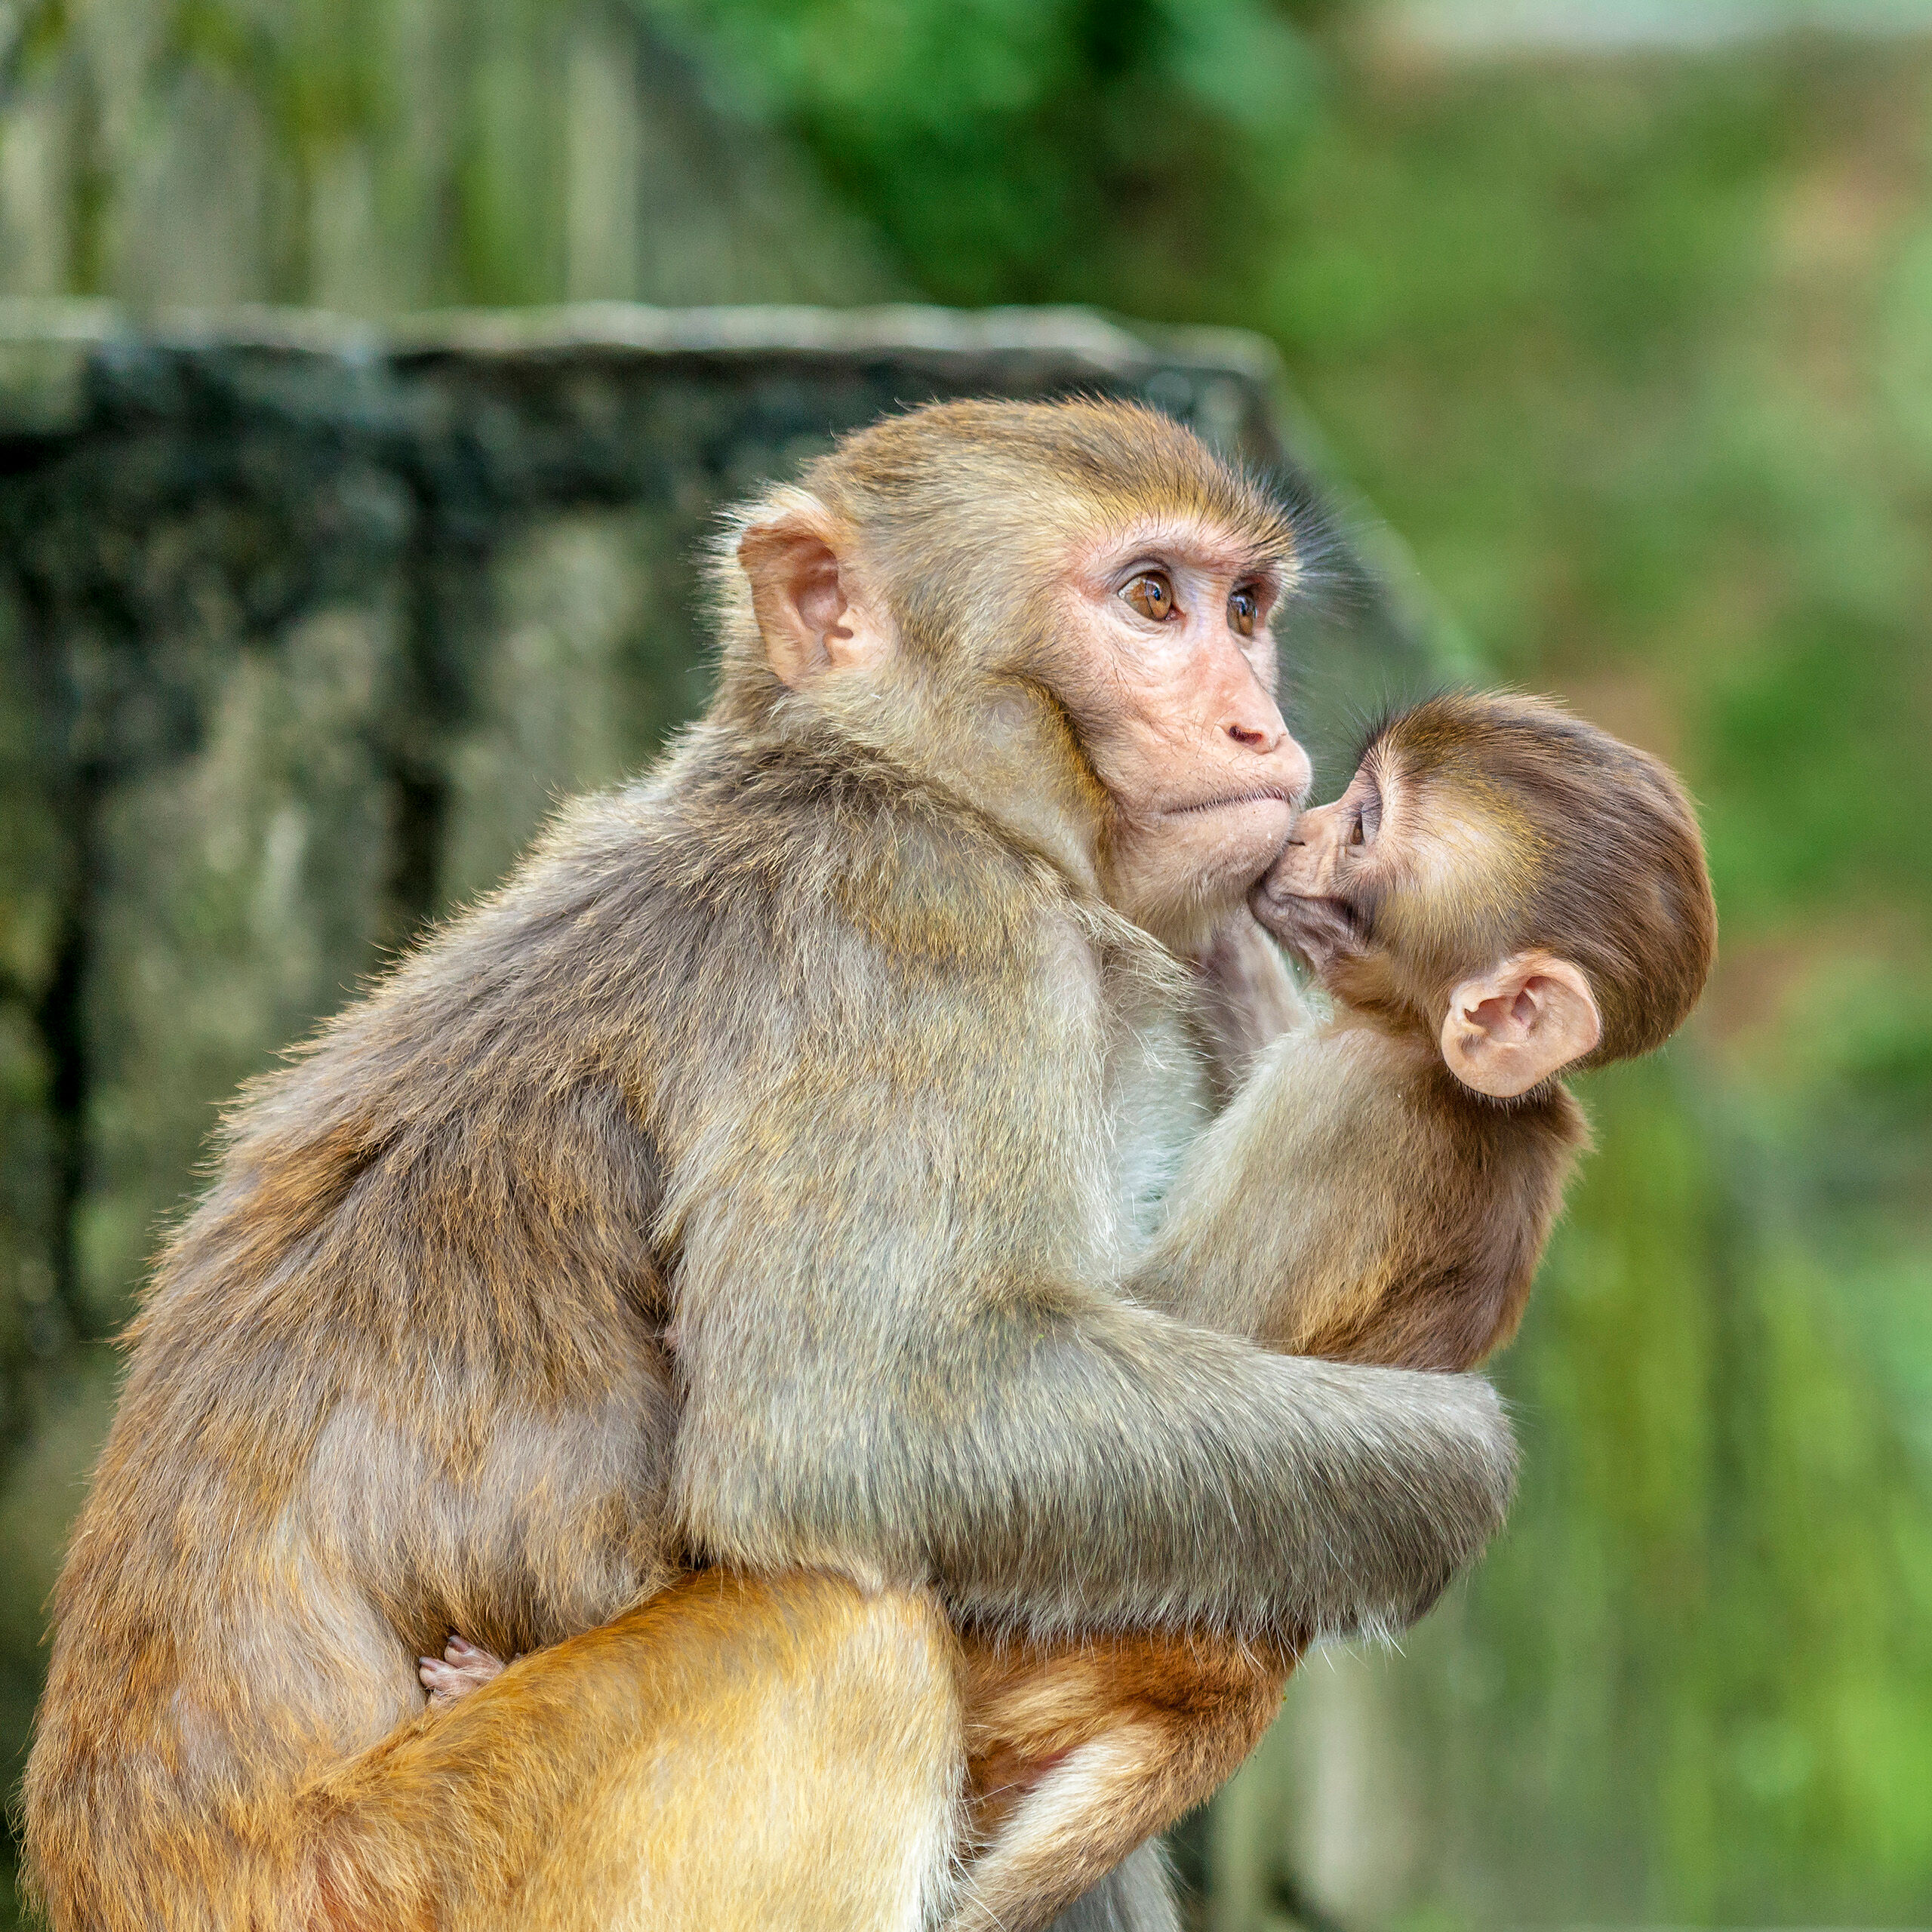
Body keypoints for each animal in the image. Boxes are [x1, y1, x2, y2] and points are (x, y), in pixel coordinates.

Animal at [23, 399, 1526, 1932]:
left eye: (1246, 609)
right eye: (1152, 600)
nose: (1261, 726)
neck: (912, 783)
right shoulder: (916, 949)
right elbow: (850, 1420)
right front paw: (1457, 1467)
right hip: (401, 1876)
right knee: (844, 1631)